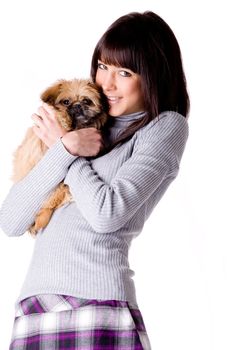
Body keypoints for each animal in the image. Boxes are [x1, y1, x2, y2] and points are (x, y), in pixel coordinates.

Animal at [11, 77, 108, 235]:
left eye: (87, 101)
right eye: (66, 102)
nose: (77, 106)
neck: (76, 127)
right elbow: (57, 113)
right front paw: (63, 117)